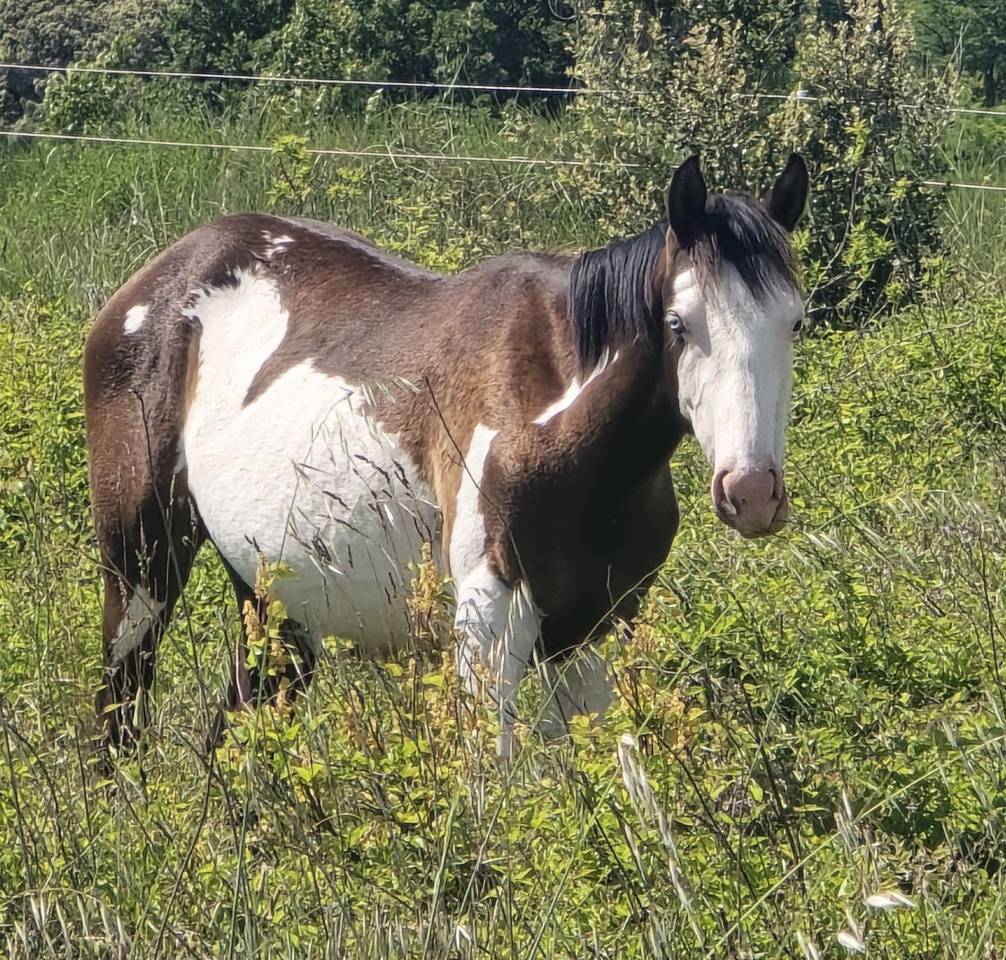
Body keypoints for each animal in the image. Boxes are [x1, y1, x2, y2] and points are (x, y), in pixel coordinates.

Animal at [84, 154, 808, 757]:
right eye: (679, 323)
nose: (751, 492)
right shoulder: (488, 619)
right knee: (118, 714)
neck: (558, 420)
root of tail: (155, 282)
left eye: (795, 322)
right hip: (141, 570)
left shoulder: (595, 632)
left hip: (274, 604)